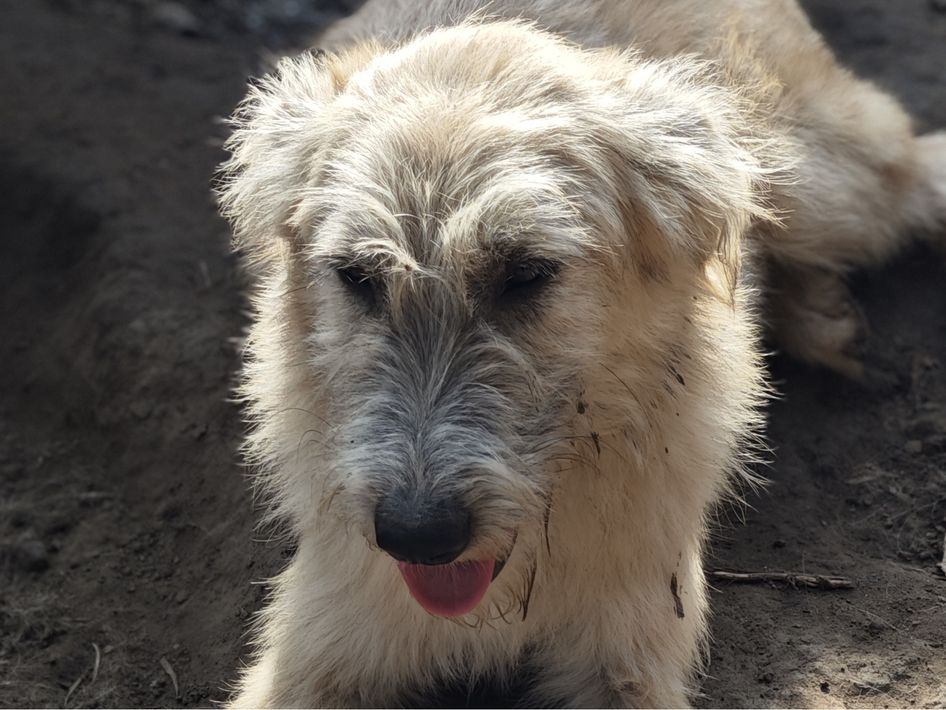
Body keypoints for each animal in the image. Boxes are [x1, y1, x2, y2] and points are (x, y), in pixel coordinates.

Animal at [216, 0, 946, 706]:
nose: (417, 535)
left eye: (527, 272)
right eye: (357, 277)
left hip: (825, 186)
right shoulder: (321, 648)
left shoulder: (632, 650)